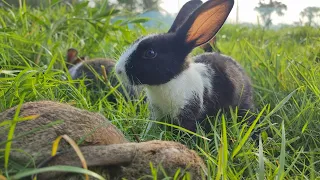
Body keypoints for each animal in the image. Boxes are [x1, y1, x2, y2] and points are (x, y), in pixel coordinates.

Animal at [115, 0, 255, 132]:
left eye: (150, 53)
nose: (118, 71)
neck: (169, 83)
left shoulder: (188, 112)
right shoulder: (156, 112)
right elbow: (152, 125)